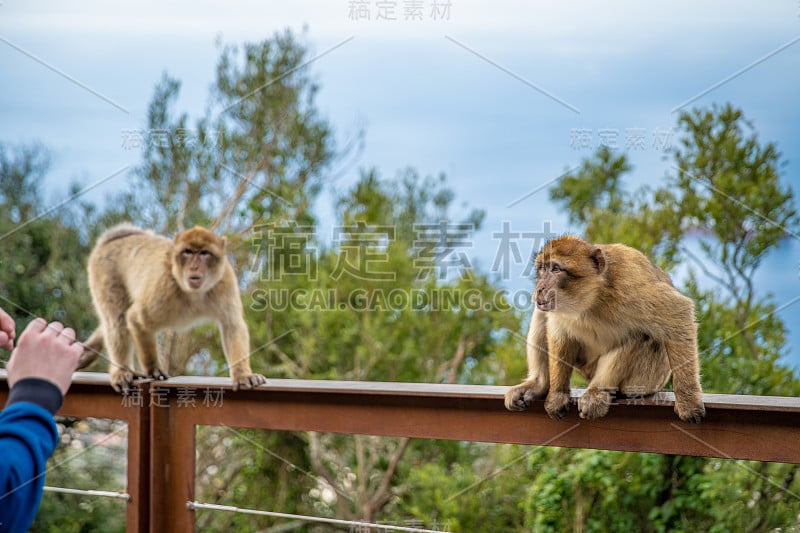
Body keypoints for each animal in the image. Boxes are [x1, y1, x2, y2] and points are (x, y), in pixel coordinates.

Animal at [76, 222, 268, 392]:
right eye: (188, 252)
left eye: (204, 253)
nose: (194, 267)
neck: (193, 293)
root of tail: (113, 239)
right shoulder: (163, 289)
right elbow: (135, 319)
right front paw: (153, 369)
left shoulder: (224, 281)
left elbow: (232, 325)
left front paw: (242, 375)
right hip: (104, 272)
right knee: (117, 319)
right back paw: (121, 371)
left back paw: (88, 352)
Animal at [506, 235, 708, 422]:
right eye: (543, 268)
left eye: (556, 269)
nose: (540, 288)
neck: (591, 297)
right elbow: (559, 335)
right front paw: (557, 395)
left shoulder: (632, 287)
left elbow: (678, 313)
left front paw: (688, 402)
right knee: (541, 314)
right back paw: (539, 383)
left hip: (647, 381)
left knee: (643, 335)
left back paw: (599, 390)